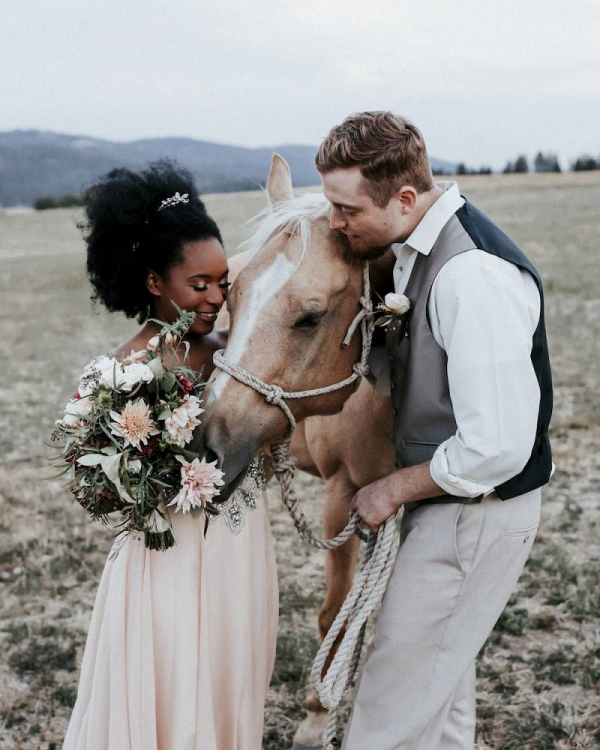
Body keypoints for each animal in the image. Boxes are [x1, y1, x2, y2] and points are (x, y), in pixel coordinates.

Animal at [204, 156, 396, 748]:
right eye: (230, 298)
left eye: (310, 316)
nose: (207, 444)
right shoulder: (342, 496)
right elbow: (334, 612)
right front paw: (315, 717)